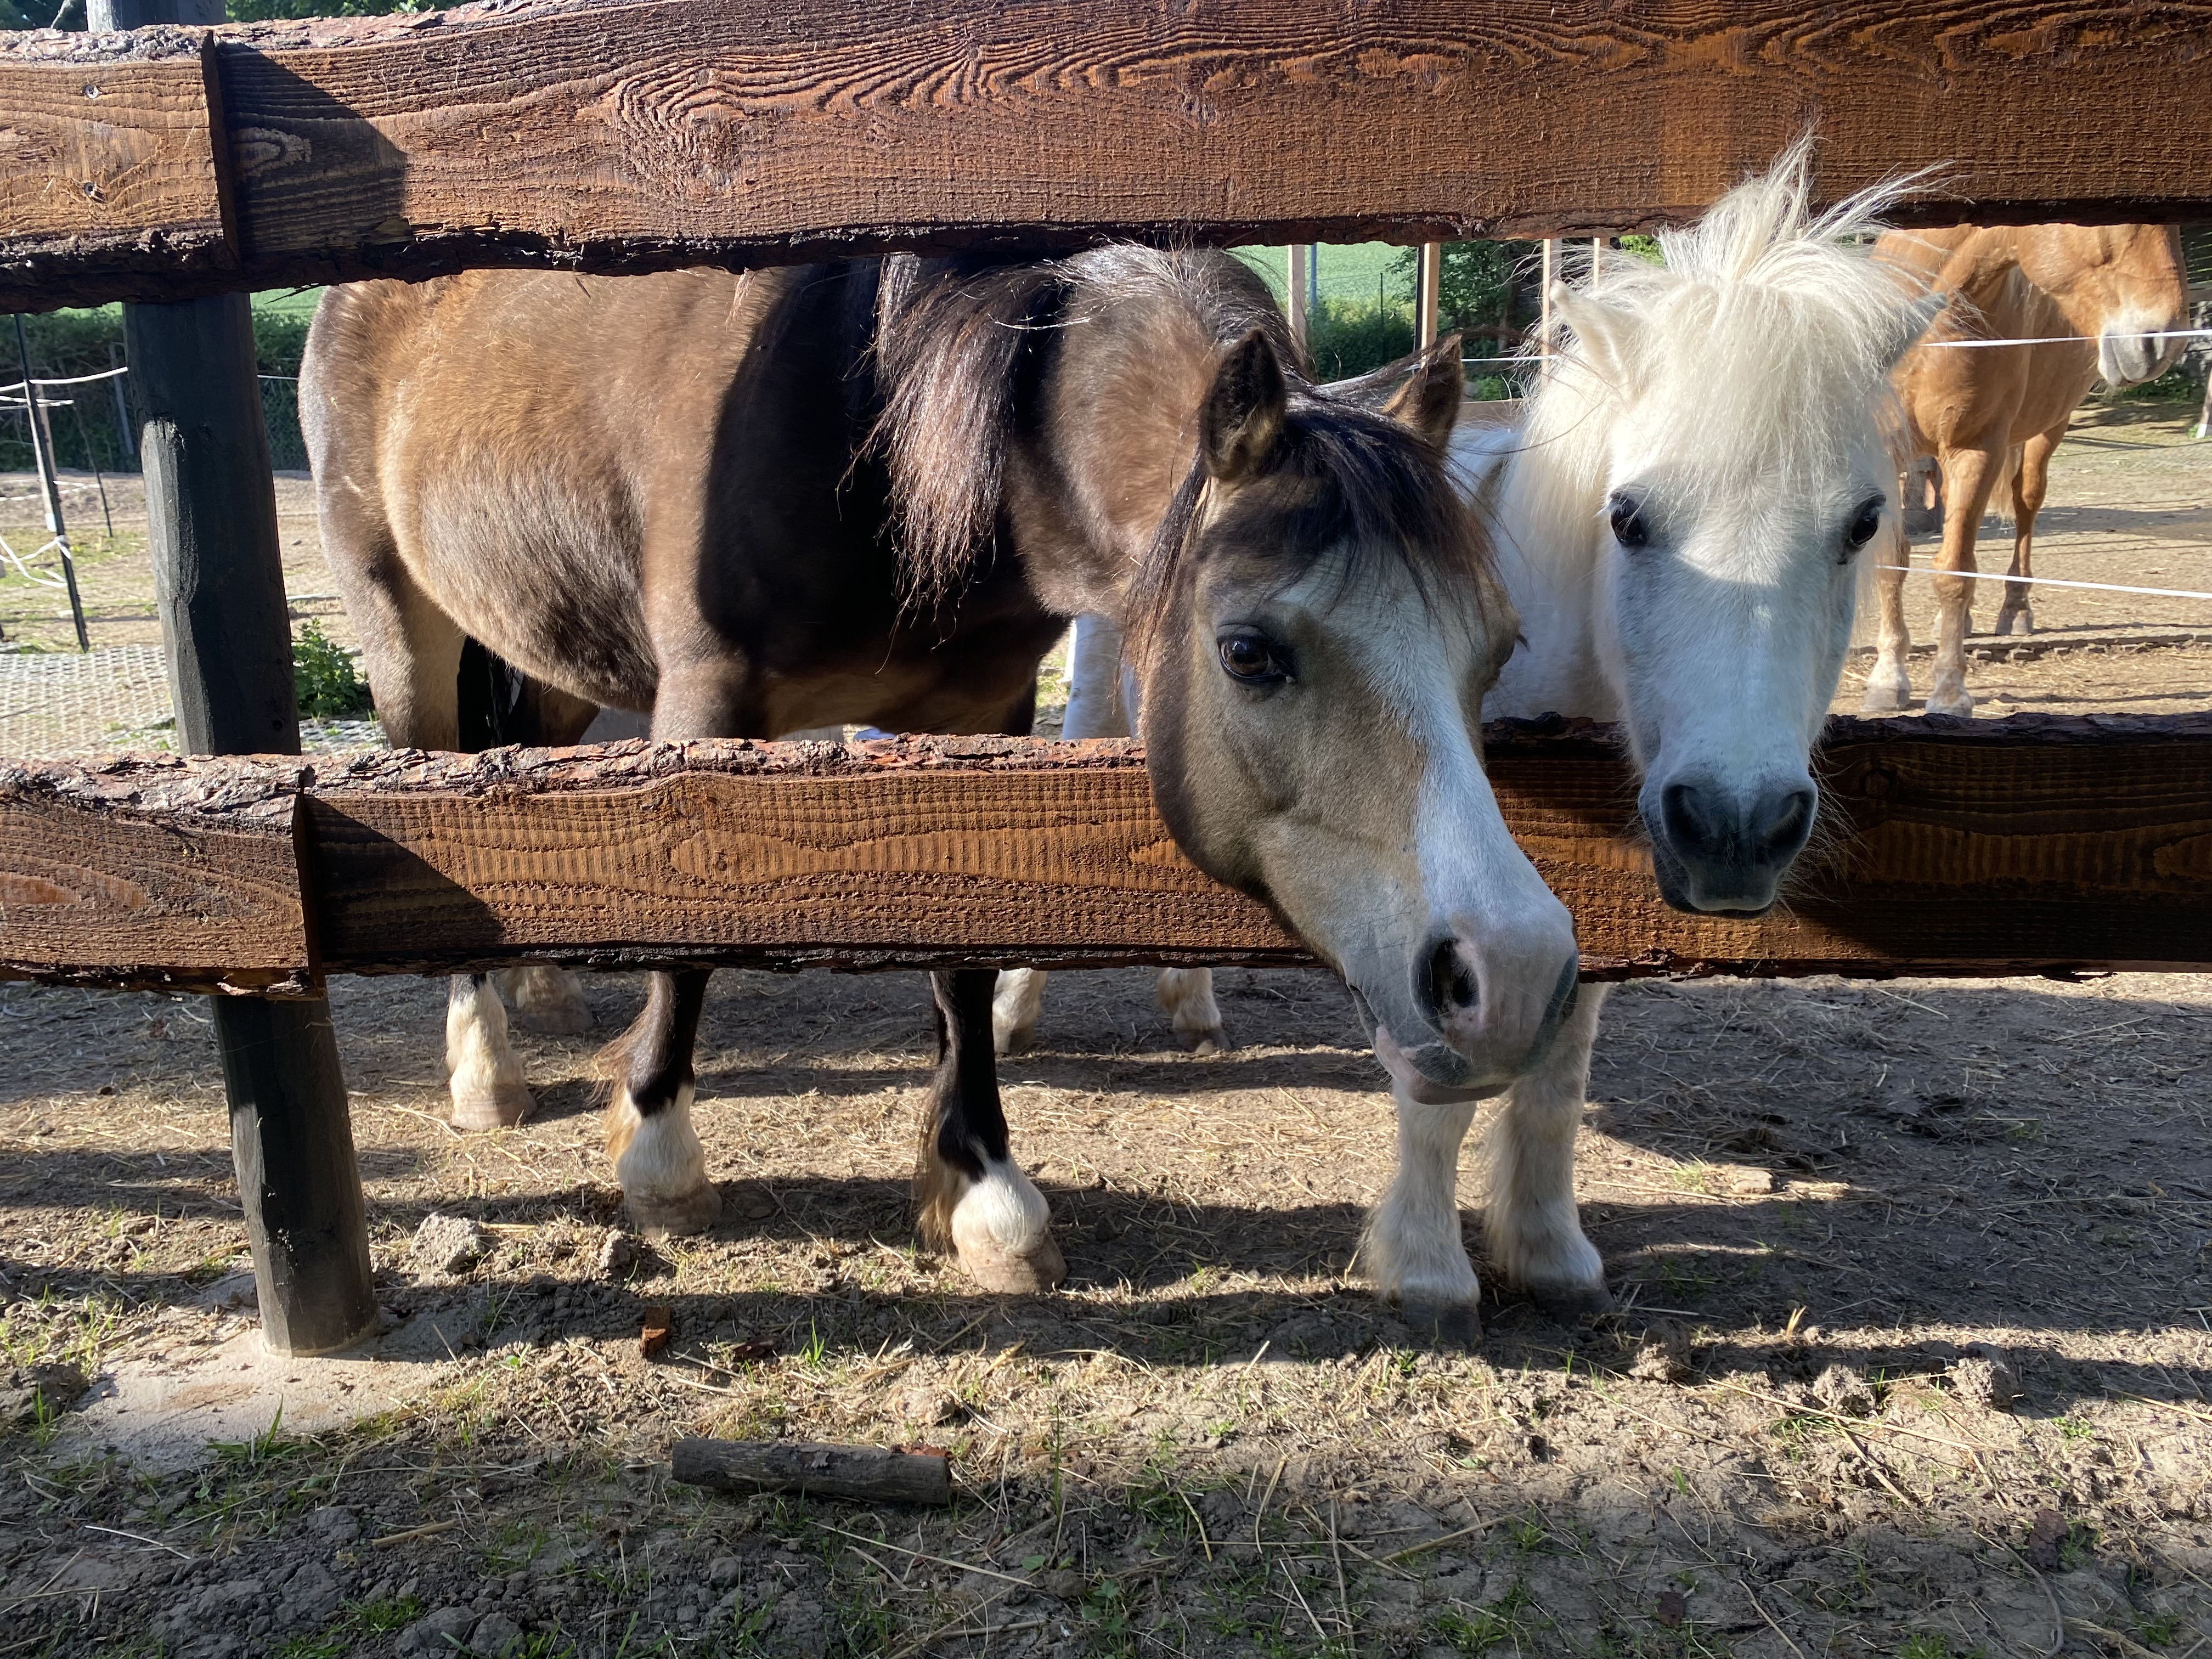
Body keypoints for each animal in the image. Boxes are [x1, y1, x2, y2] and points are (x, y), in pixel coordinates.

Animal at [303, 250, 1583, 1300]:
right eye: (1248, 652)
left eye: (1497, 647)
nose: (1515, 974)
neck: (881, 423)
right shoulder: (705, 704)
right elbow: (690, 932)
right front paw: (660, 1155)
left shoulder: (981, 717)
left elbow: (966, 957)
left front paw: (985, 1193)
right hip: (400, 621)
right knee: (430, 777)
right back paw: (486, 1067)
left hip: (545, 645)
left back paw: (546, 983)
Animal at [1004, 153, 1938, 1327]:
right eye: (1628, 517)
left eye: (1861, 523)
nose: (1735, 825)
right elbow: (1438, 1085)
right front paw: (1425, 1262)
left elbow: (1556, 1075)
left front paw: (1547, 1248)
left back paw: (1194, 1001)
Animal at [1858, 221, 2185, 716]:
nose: (2165, 342)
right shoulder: (1888, 452)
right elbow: (1892, 563)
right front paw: (1888, 678)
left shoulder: (1979, 449)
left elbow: (1954, 572)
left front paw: (1950, 692)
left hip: (2048, 430)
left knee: (2026, 505)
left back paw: (2015, 611)